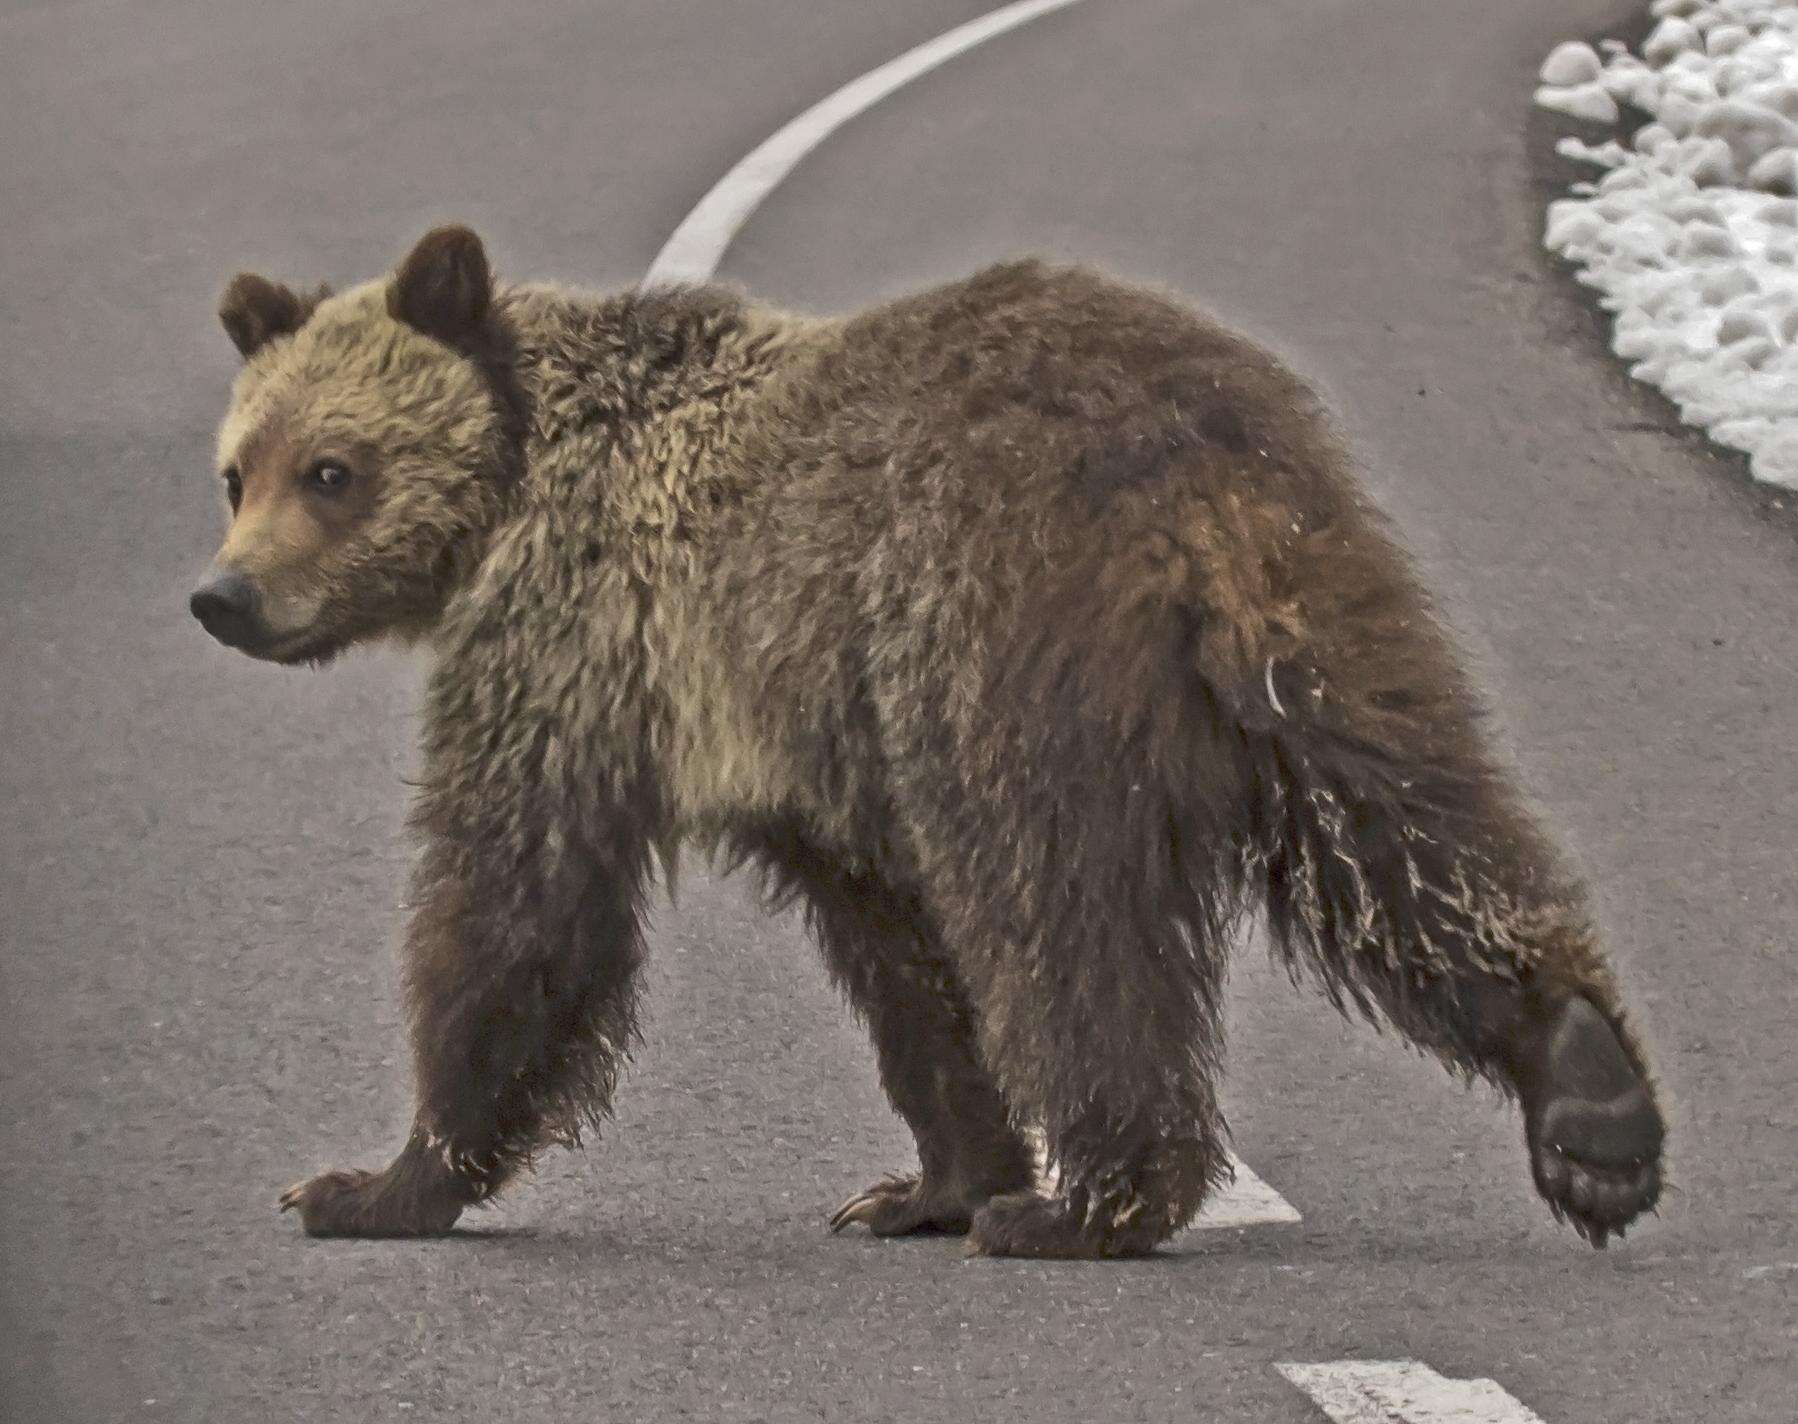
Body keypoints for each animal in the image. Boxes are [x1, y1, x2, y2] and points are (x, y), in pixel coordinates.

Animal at [189, 228, 1661, 1265]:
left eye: (332, 469)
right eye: (235, 470)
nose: (226, 597)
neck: (524, 471)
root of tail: (1170, 454)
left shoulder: (579, 637)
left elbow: (516, 894)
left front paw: (373, 1179)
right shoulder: (803, 730)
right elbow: (897, 952)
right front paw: (927, 1180)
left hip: (992, 629)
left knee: (1056, 905)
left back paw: (1095, 1201)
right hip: (1314, 604)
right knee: (1401, 827)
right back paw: (1588, 1101)